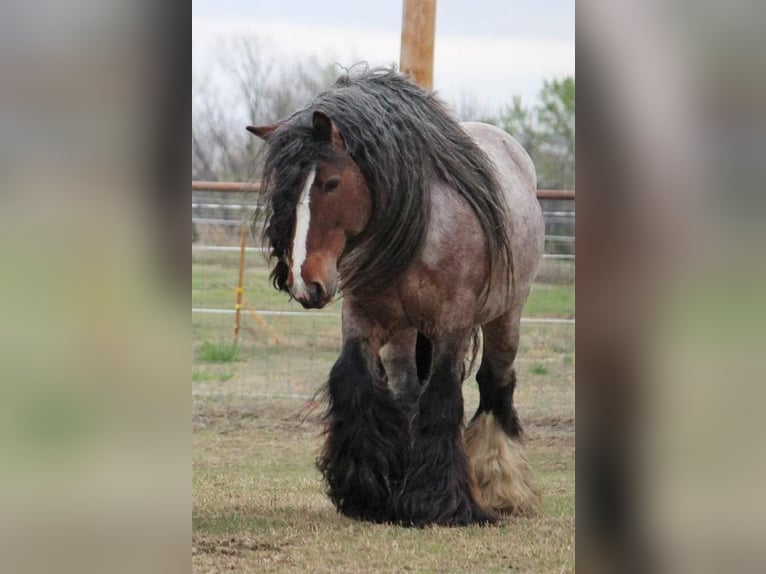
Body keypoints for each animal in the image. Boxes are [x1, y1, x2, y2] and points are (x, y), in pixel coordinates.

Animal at [247, 68, 545, 526]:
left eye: (331, 183)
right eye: (283, 192)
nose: (303, 282)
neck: (420, 227)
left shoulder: (453, 323)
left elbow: (441, 397)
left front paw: (440, 503)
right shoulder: (365, 317)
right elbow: (358, 382)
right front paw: (368, 493)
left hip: (506, 316)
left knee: (496, 382)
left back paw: (501, 487)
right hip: (406, 333)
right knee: (408, 393)